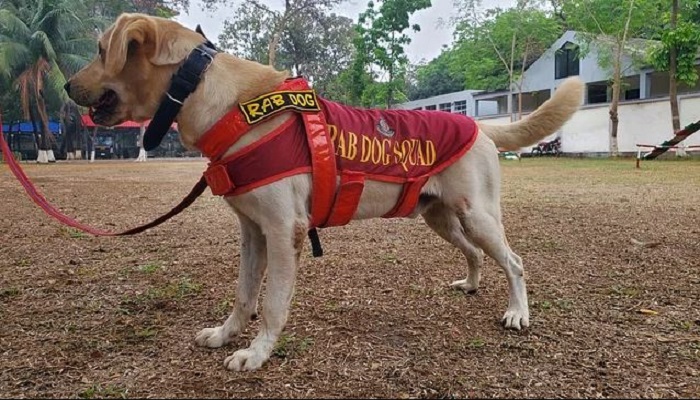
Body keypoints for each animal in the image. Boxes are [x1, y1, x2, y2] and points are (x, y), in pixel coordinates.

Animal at [65, 13, 584, 372]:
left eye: (101, 48)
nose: (67, 85)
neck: (219, 99)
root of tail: (478, 126)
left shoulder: (283, 230)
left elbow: (272, 303)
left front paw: (257, 353)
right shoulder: (252, 232)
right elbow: (244, 295)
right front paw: (226, 334)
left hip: (477, 216)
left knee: (514, 262)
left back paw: (517, 313)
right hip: (440, 217)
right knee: (475, 255)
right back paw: (472, 284)